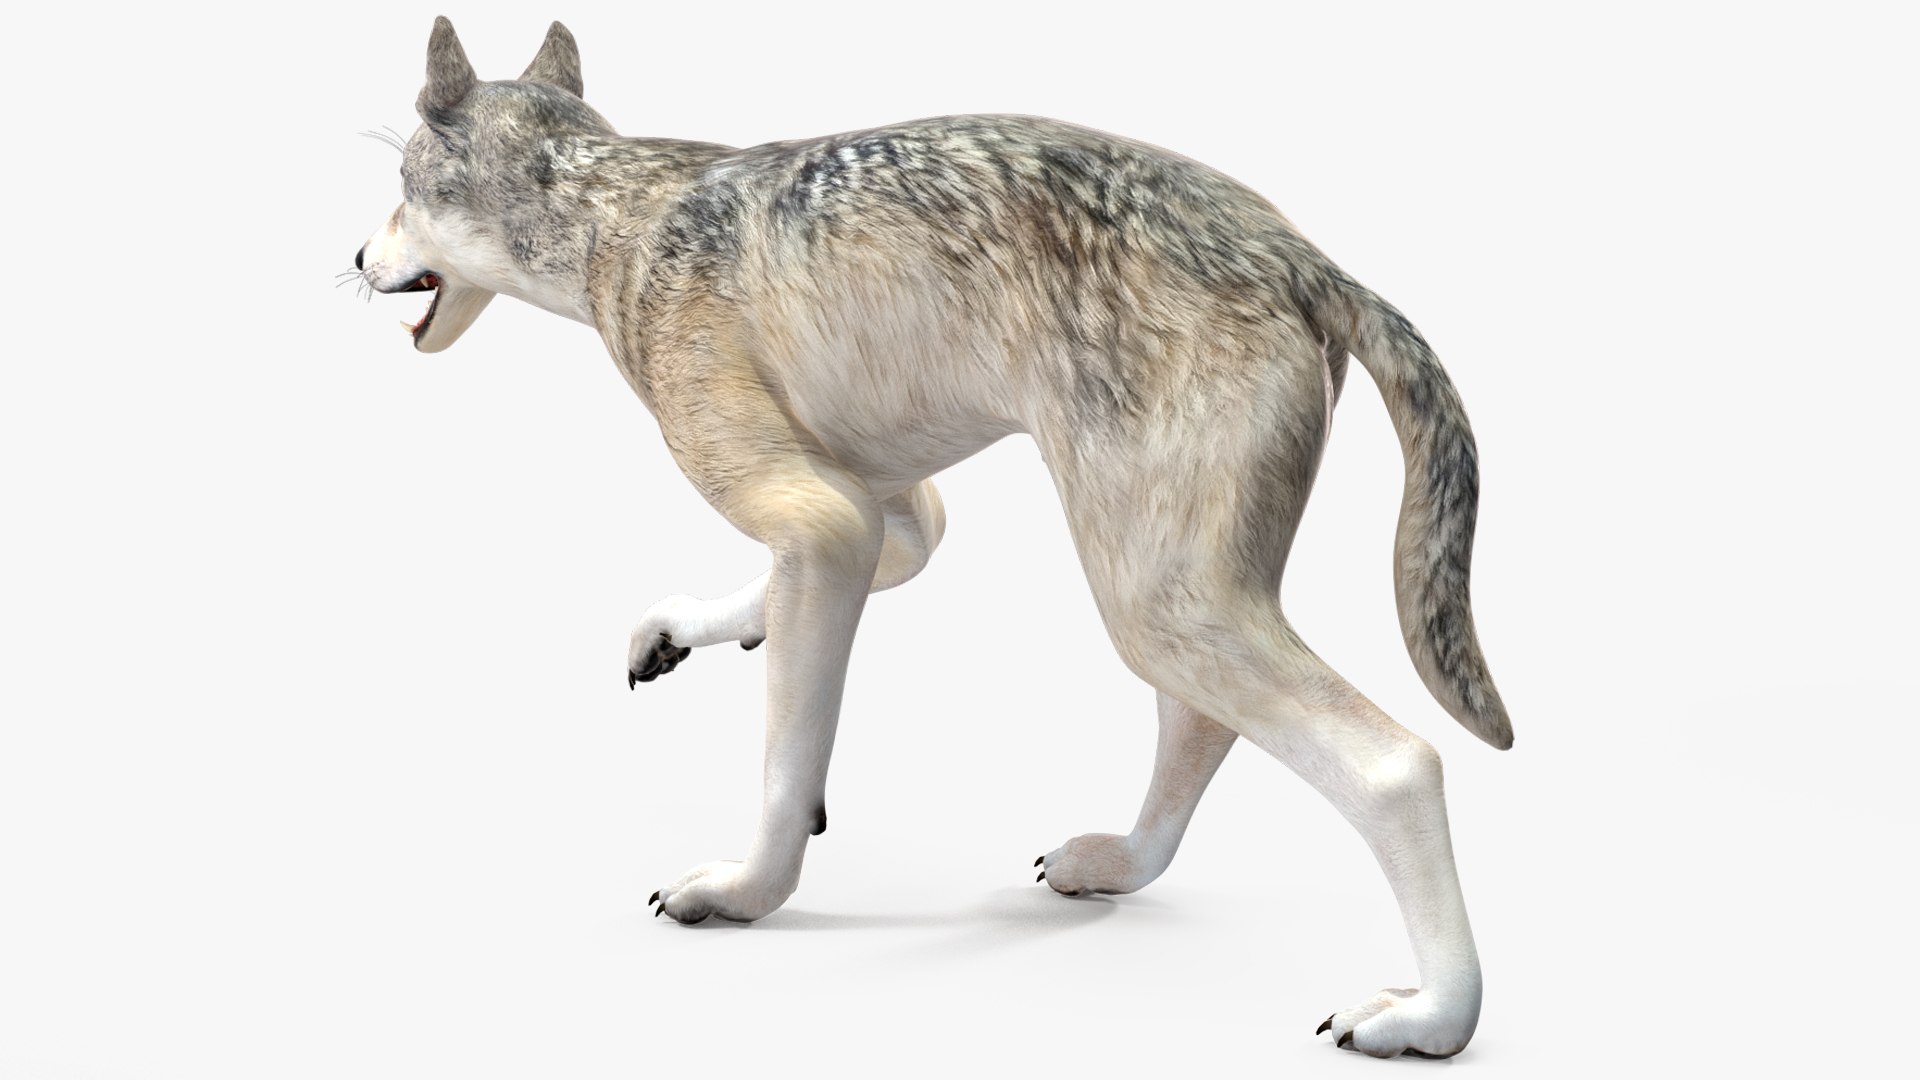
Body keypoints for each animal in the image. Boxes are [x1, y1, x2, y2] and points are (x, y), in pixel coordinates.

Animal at [354, 18, 1513, 1059]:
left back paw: (1433, 1016)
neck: (608, 207)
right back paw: (1121, 862)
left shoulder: (821, 518)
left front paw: (747, 889)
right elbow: (857, 574)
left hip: (1157, 600)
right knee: (1201, 724)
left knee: (1394, 764)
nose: (358, 255)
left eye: (401, 185)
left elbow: (786, 757)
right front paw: (693, 631)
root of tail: (1310, 261)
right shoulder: (884, 503)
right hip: (1172, 578)